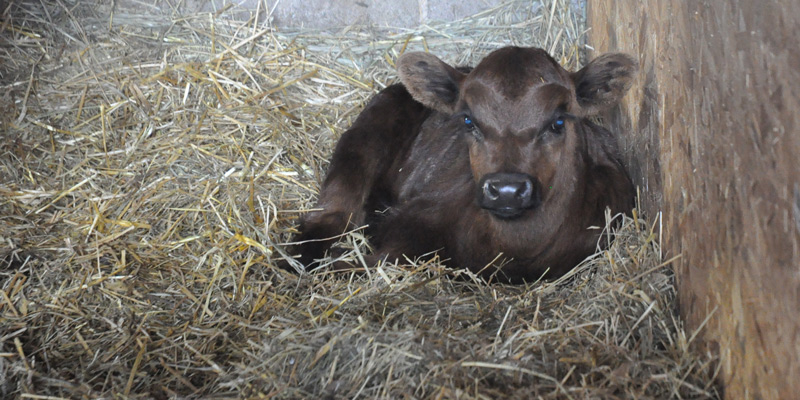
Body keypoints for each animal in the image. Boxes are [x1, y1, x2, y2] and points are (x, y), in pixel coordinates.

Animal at [285, 46, 637, 283]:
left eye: (559, 121)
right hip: (363, 138)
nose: (506, 190)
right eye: (468, 121)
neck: (515, 247)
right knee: (332, 212)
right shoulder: (407, 222)